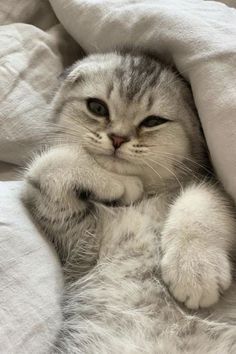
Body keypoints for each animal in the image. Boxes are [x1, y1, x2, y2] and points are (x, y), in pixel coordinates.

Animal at [23, 50, 236, 354]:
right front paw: (122, 185)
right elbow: (51, 162)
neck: (147, 198)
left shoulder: (214, 187)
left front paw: (194, 269)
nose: (118, 138)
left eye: (153, 121)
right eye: (97, 108)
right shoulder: (78, 241)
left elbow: (203, 197)